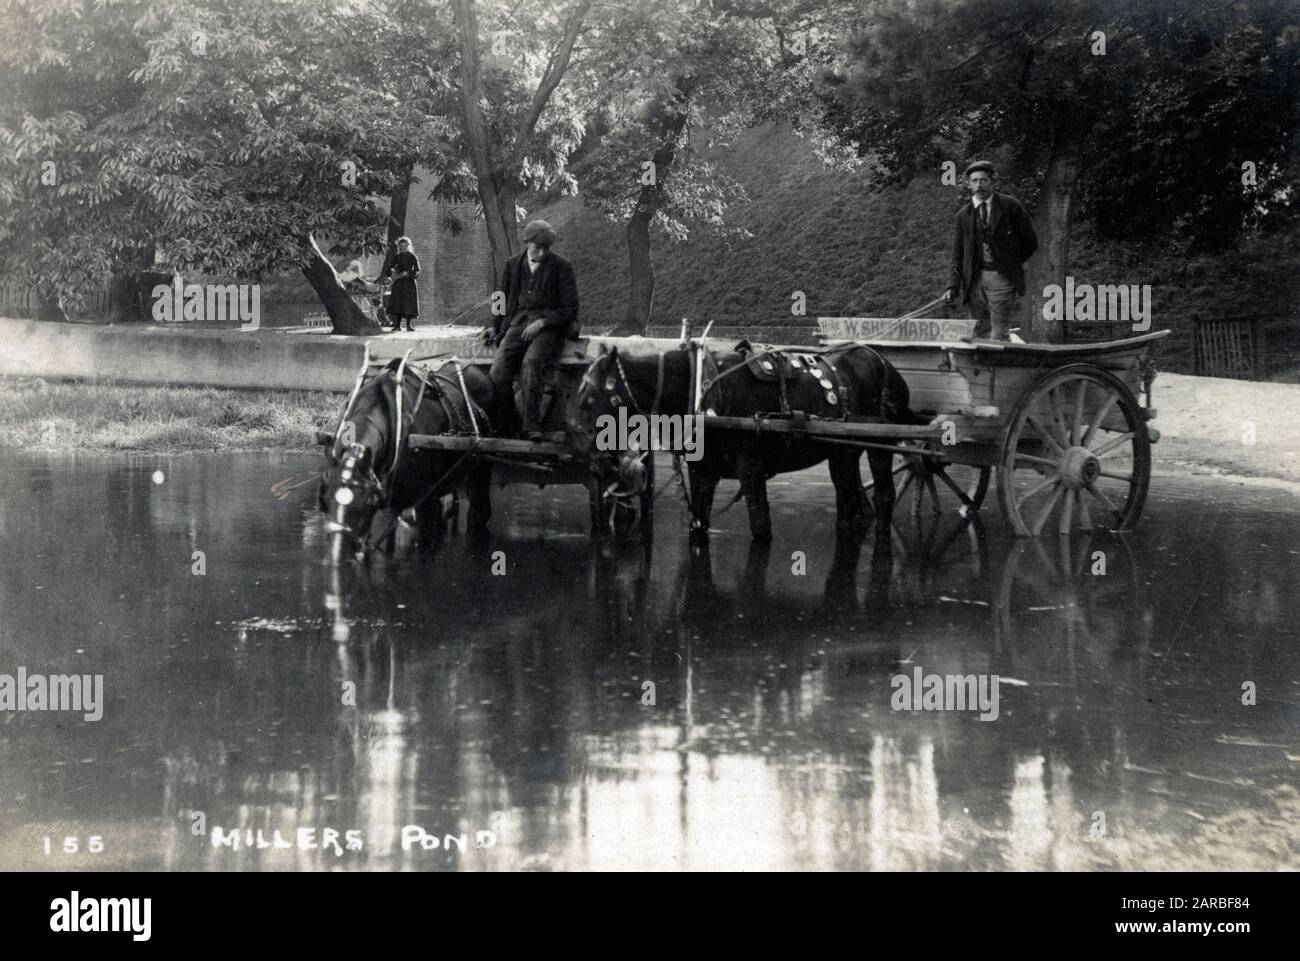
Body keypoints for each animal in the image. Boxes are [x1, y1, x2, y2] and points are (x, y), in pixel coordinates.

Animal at [317, 356, 493, 559]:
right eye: (324, 503)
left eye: (363, 505)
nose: (339, 553)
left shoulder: (426, 502)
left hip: (483, 464)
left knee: (479, 512)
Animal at [574, 343, 920, 540]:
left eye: (589, 400)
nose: (596, 464)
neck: (703, 393)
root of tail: (884, 363)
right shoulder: (702, 472)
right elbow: (698, 523)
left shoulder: (751, 467)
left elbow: (761, 524)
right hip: (842, 453)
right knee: (853, 498)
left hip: (877, 446)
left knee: (882, 496)